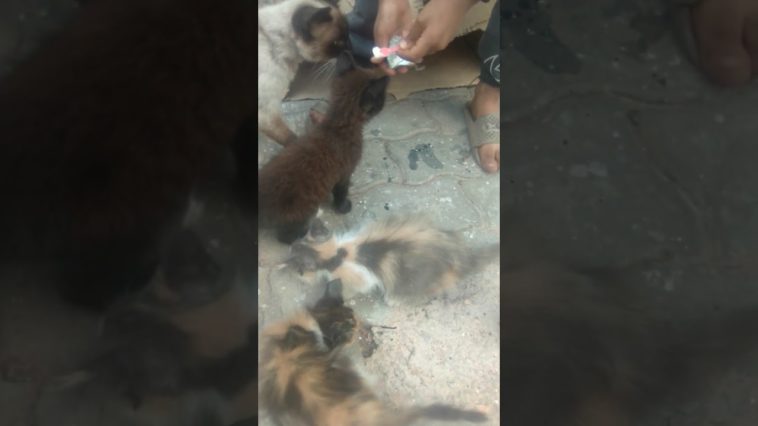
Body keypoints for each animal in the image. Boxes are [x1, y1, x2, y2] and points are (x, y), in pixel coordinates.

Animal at [258, 51, 389, 244]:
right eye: (381, 99)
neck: (337, 125)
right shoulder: (344, 172)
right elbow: (341, 192)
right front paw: (343, 207)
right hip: (300, 212)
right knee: (285, 238)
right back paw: (302, 234)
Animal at [285, 215, 500, 304]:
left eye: (299, 269)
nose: (289, 248)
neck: (337, 253)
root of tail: (459, 254)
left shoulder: (354, 276)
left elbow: (354, 288)